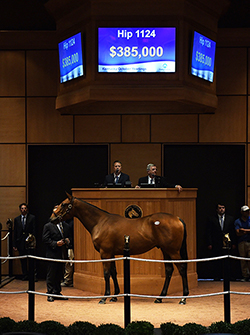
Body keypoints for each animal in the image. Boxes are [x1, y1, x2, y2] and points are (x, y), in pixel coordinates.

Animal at [49, 193, 188, 306]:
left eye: (63, 204)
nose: (52, 218)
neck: (100, 222)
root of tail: (177, 218)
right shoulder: (111, 253)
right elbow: (113, 272)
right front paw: (115, 296)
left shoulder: (105, 253)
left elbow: (106, 274)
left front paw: (104, 297)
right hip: (166, 250)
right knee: (169, 270)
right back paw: (160, 297)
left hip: (173, 251)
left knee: (182, 269)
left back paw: (183, 298)